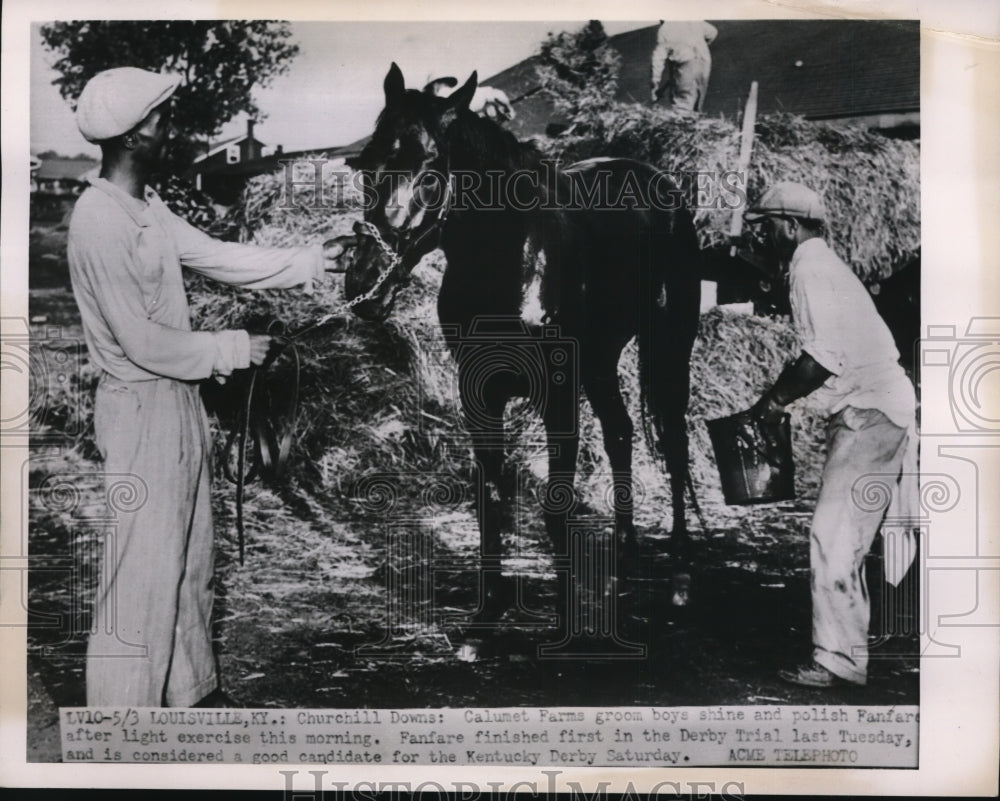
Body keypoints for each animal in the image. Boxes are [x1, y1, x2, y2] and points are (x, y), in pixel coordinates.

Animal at [340, 62, 700, 624]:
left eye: (430, 171)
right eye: (367, 167)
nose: (364, 286)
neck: (514, 260)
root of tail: (656, 181)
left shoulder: (558, 392)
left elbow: (556, 505)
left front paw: (569, 611)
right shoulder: (478, 392)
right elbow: (491, 497)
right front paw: (489, 609)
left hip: (670, 345)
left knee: (675, 443)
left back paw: (680, 575)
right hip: (601, 360)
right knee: (620, 434)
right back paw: (622, 561)